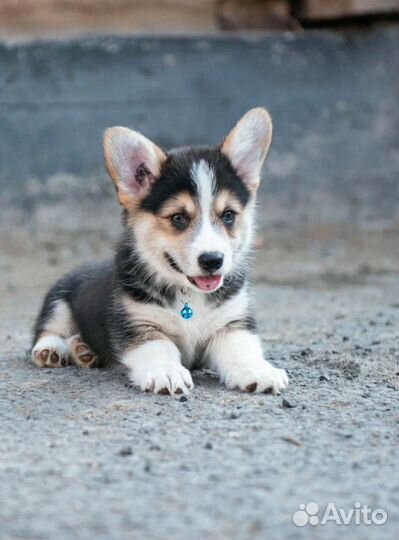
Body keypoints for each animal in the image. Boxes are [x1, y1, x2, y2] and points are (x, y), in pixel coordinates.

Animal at [31, 108, 288, 396]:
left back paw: (83, 350)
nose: (213, 260)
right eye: (178, 218)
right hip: (59, 298)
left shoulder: (231, 323)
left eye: (229, 215)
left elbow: (241, 348)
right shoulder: (138, 324)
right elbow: (158, 347)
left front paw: (257, 370)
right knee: (49, 328)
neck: (189, 295)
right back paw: (52, 350)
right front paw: (167, 372)